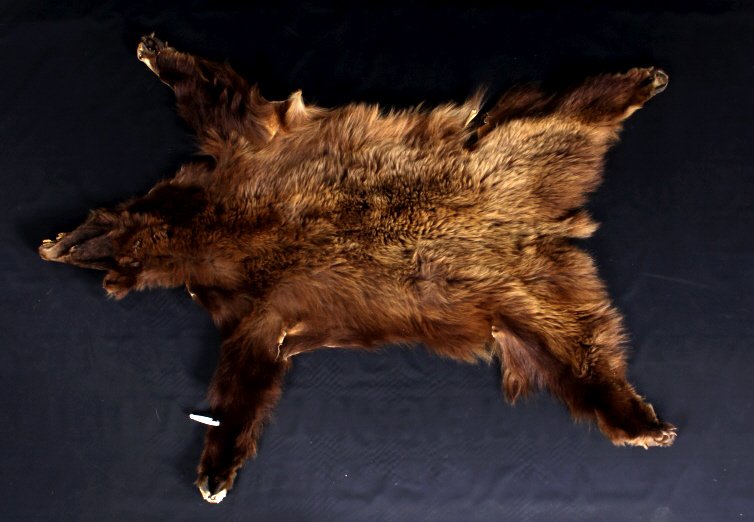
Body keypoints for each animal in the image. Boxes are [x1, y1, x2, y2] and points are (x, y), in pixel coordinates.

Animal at [39, 34, 676, 504]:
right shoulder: (256, 302)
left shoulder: (249, 154)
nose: (52, 245)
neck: (211, 230)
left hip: (512, 160)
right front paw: (218, 471)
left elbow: (227, 103)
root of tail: (547, 226)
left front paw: (158, 52)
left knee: (566, 121)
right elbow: (252, 365)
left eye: (86, 237)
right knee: (579, 349)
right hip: (527, 295)